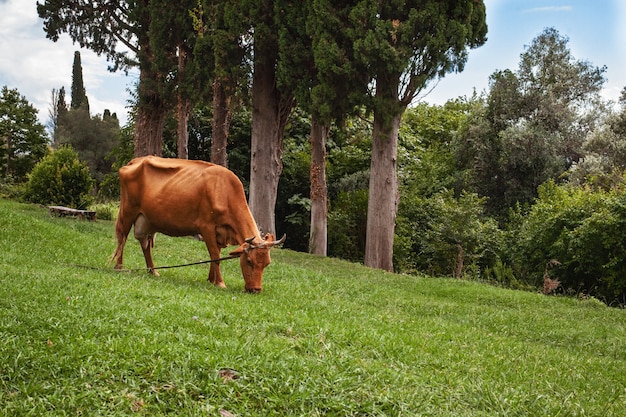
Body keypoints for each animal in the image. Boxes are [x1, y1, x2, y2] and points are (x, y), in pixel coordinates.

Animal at [111, 156, 282, 292]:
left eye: (266, 264)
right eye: (248, 261)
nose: (256, 290)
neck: (224, 191)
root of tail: (136, 160)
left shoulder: (219, 233)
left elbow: (215, 254)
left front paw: (211, 279)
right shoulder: (206, 227)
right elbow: (215, 256)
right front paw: (220, 282)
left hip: (147, 220)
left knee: (145, 245)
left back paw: (152, 271)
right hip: (128, 211)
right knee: (123, 239)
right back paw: (119, 267)